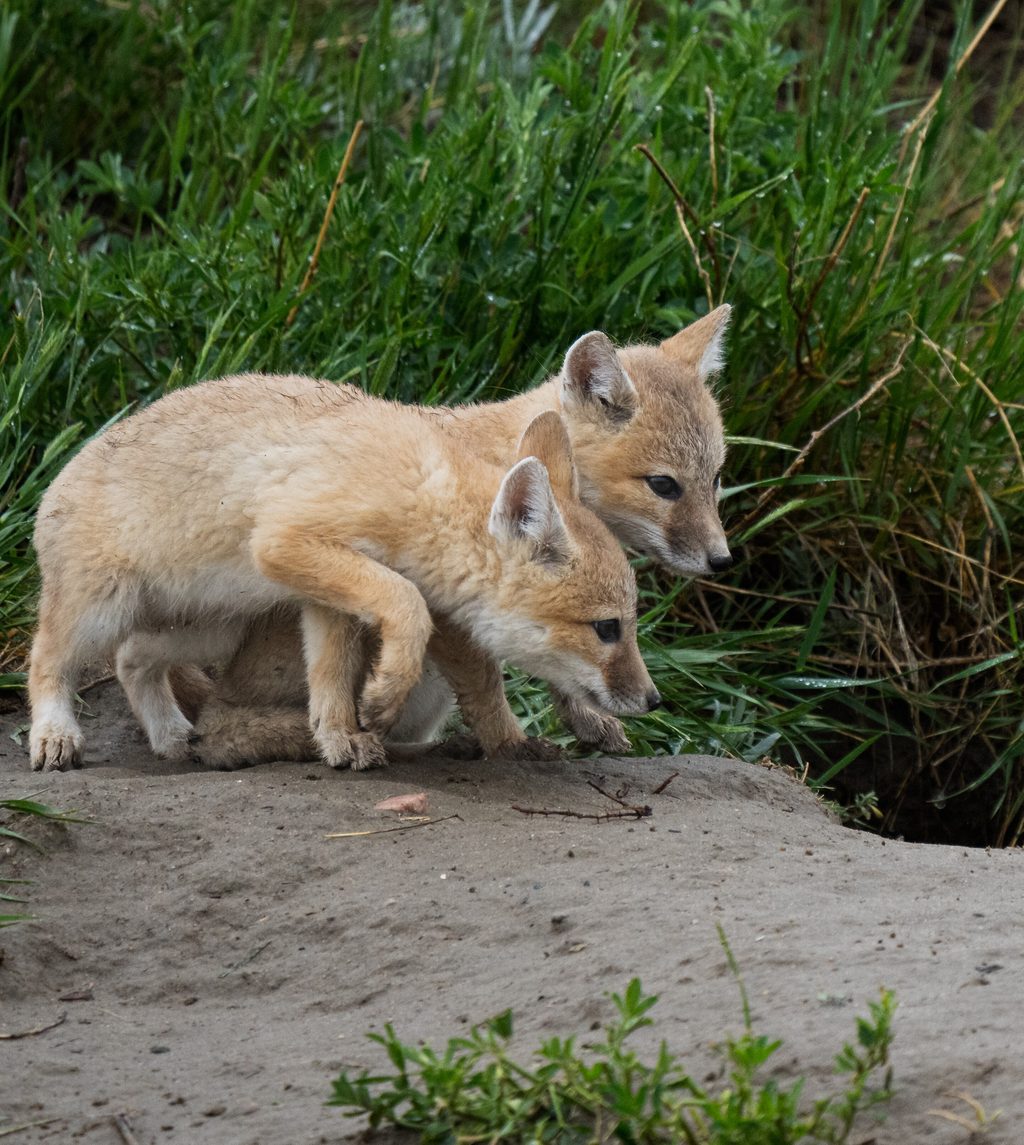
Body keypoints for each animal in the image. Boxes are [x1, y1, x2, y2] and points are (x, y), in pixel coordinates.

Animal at [28, 378, 660, 773]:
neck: (421, 489)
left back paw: (172, 739)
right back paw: (54, 735)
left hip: (212, 626)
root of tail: (52, 484)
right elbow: (409, 604)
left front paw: (338, 739)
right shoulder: (287, 543)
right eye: (608, 629)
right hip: (100, 613)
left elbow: (330, 675)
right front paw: (383, 695)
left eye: (629, 624)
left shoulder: (323, 596)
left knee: (133, 659)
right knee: (46, 661)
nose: (654, 700)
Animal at [166, 304, 735, 767]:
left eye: (716, 479)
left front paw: (586, 718)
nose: (722, 560)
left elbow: (565, 661)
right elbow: (488, 686)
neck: (499, 455)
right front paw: (512, 746)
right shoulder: (454, 607)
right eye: (664, 485)